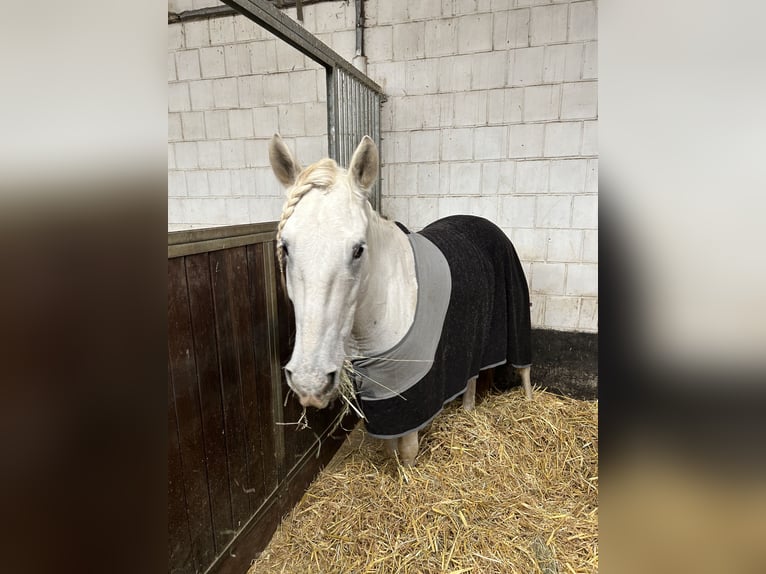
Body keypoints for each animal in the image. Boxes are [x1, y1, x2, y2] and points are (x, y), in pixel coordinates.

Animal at [272, 135, 536, 468]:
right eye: (286, 247)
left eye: (358, 249)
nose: (310, 382)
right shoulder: (381, 397)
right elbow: (389, 448)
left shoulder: (412, 397)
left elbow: (408, 454)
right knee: (472, 380)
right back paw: (468, 411)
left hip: (517, 319)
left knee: (524, 369)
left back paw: (529, 404)